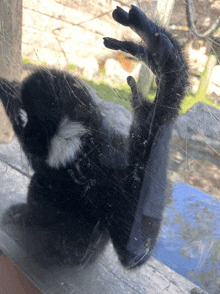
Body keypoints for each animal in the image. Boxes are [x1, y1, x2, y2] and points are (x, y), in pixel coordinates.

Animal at [0, 6, 189, 268]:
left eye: (27, 123)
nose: (26, 132)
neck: (82, 154)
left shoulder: (111, 158)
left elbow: (133, 252)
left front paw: (162, 91)